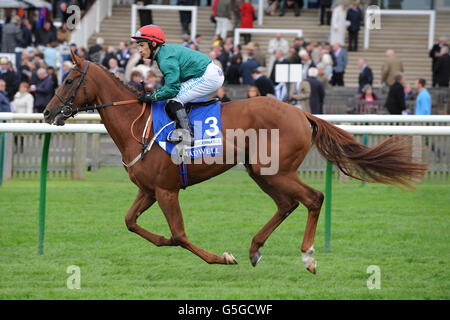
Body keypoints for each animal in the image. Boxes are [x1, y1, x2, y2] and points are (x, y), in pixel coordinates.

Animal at [44, 52, 428, 272]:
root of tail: (302, 112)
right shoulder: (149, 190)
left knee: (313, 198)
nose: (48, 113)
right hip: (261, 171)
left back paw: (307, 256)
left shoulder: (167, 191)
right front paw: (167, 242)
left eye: (68, 79)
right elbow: (132, 223)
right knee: (287, 203)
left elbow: (180, 235)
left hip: (278, 169)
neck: (138, 125)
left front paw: (222, 258)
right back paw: (256, 249)